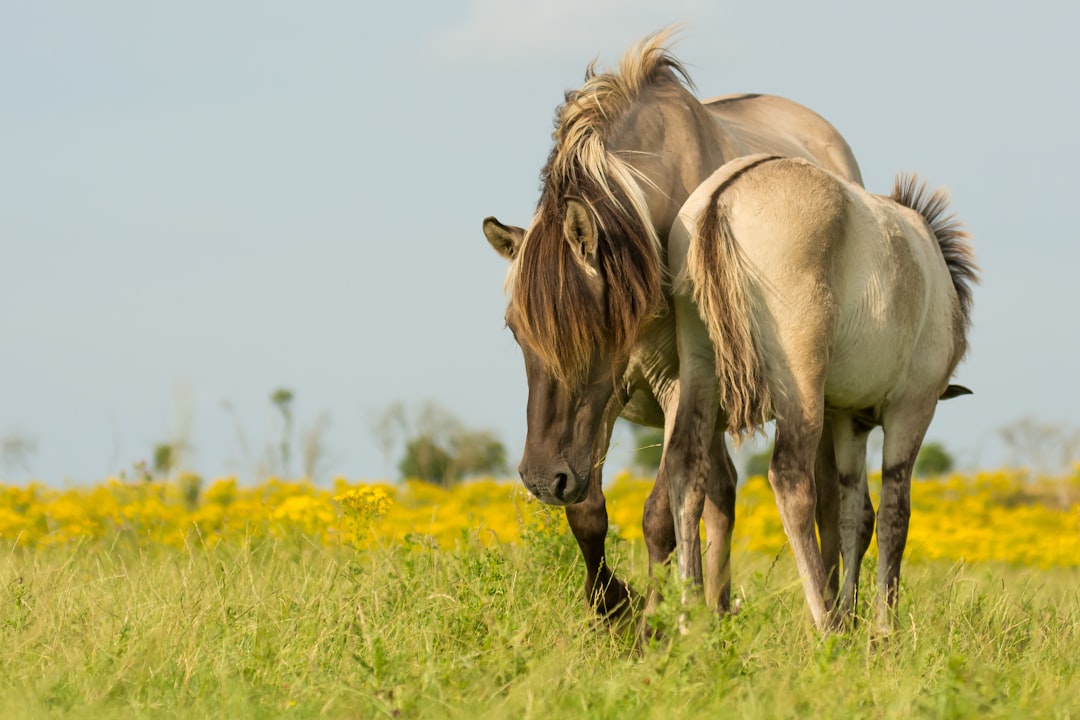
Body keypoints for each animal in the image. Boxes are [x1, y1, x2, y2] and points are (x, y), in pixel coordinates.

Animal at [486, 29, 864, 621]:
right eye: (514, 331)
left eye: (595, 330)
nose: (544, 480)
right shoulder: (608, 401)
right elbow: (589, 514)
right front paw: (611, 607)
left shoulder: (677, 388)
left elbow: (658, 515)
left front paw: (651, 623)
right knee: (722, 494)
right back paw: (717, 609)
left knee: (822, 496)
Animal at [669, 156, 976, 630]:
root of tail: (723, 198)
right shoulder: (912, 410)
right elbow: (894, 516)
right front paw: (881, 628)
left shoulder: (850, 421)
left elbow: (855, 517)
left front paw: (855, 618)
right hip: (801, 389)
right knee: (790, 479)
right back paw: (825, 621)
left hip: (699, 369)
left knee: (686, 468)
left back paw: (688, 621)